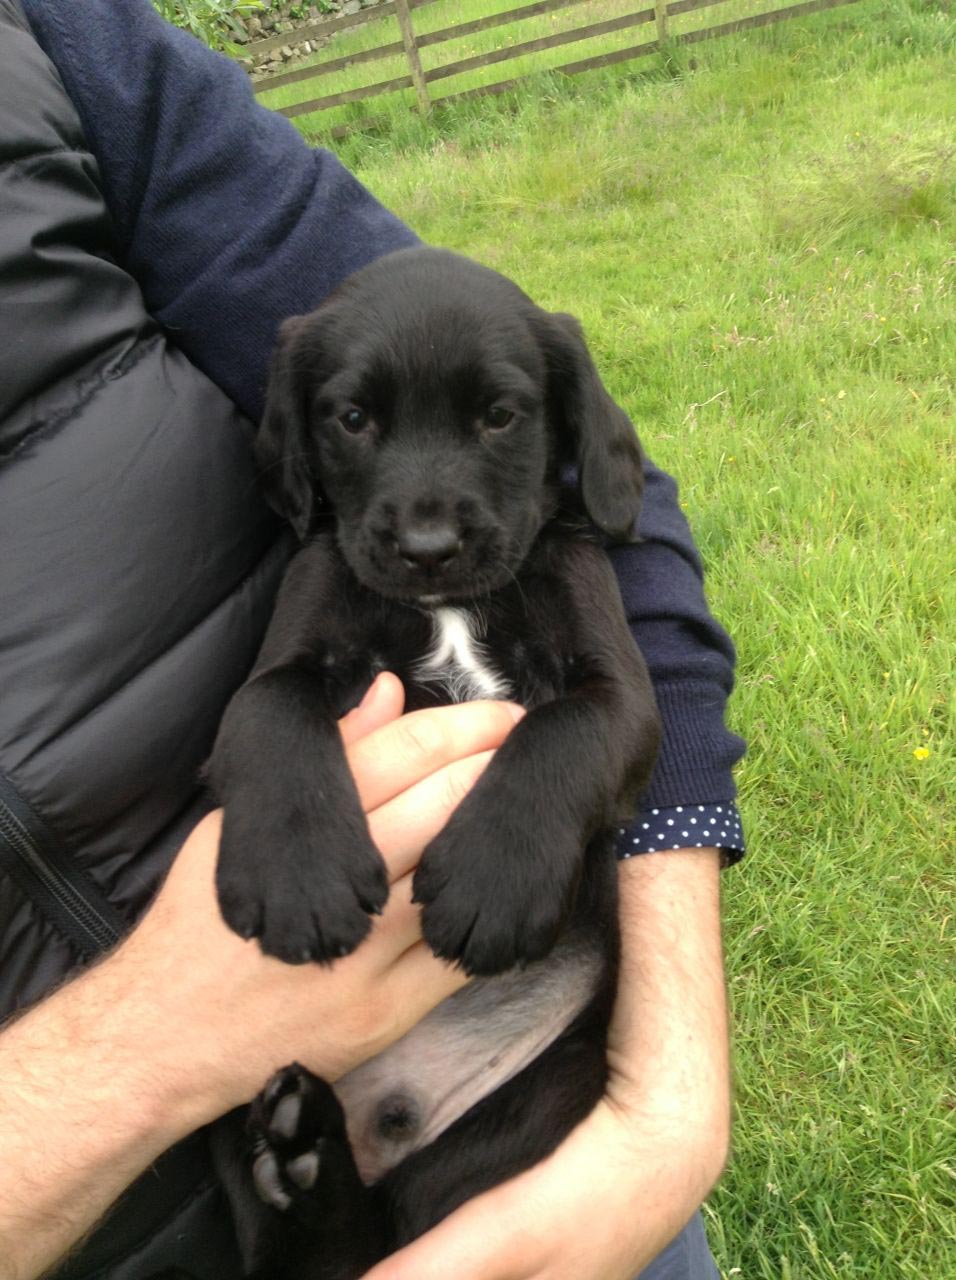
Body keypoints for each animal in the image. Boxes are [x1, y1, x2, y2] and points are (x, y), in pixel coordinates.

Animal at [207, 244, 660, 1274]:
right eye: (352, 418)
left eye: (500, 415)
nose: (426, 548)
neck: (447, 607)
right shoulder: (295, 641)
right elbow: (271, 711)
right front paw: (298, 879)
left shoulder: (620, 693)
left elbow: (558, 734)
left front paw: (493, 883)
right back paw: (300, 1158)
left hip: (541, 1095)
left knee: (395, 1225)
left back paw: (308, 1158)